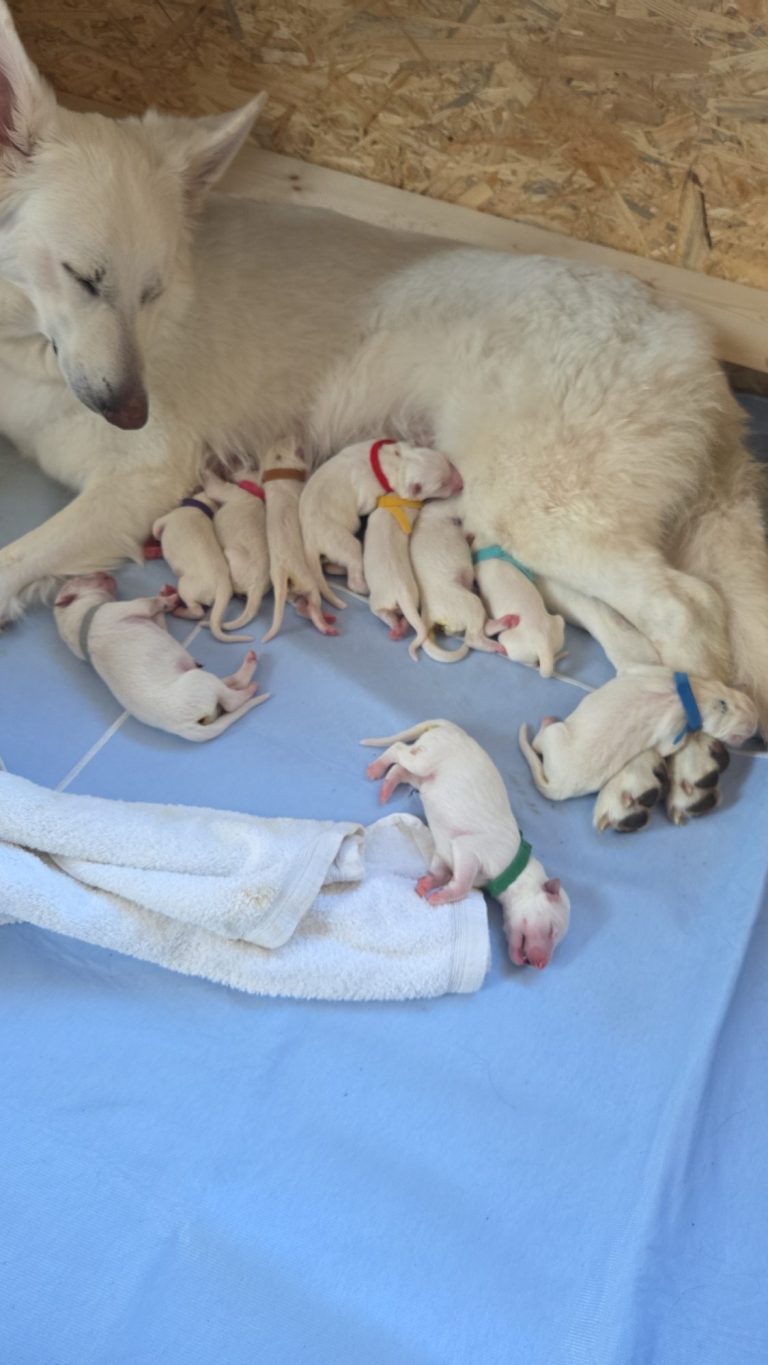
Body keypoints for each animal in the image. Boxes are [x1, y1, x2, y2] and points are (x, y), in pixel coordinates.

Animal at [1, 0, 767, 829]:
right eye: (84, 278)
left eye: (153, 291)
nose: (133, 413)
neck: (23, 342)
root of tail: (696, 349)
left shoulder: (141, 476)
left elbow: (13, 556)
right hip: (521, 525)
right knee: (636, 644)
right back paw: (637, 770)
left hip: (543, 512)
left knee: (692, 610)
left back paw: (698, 747)